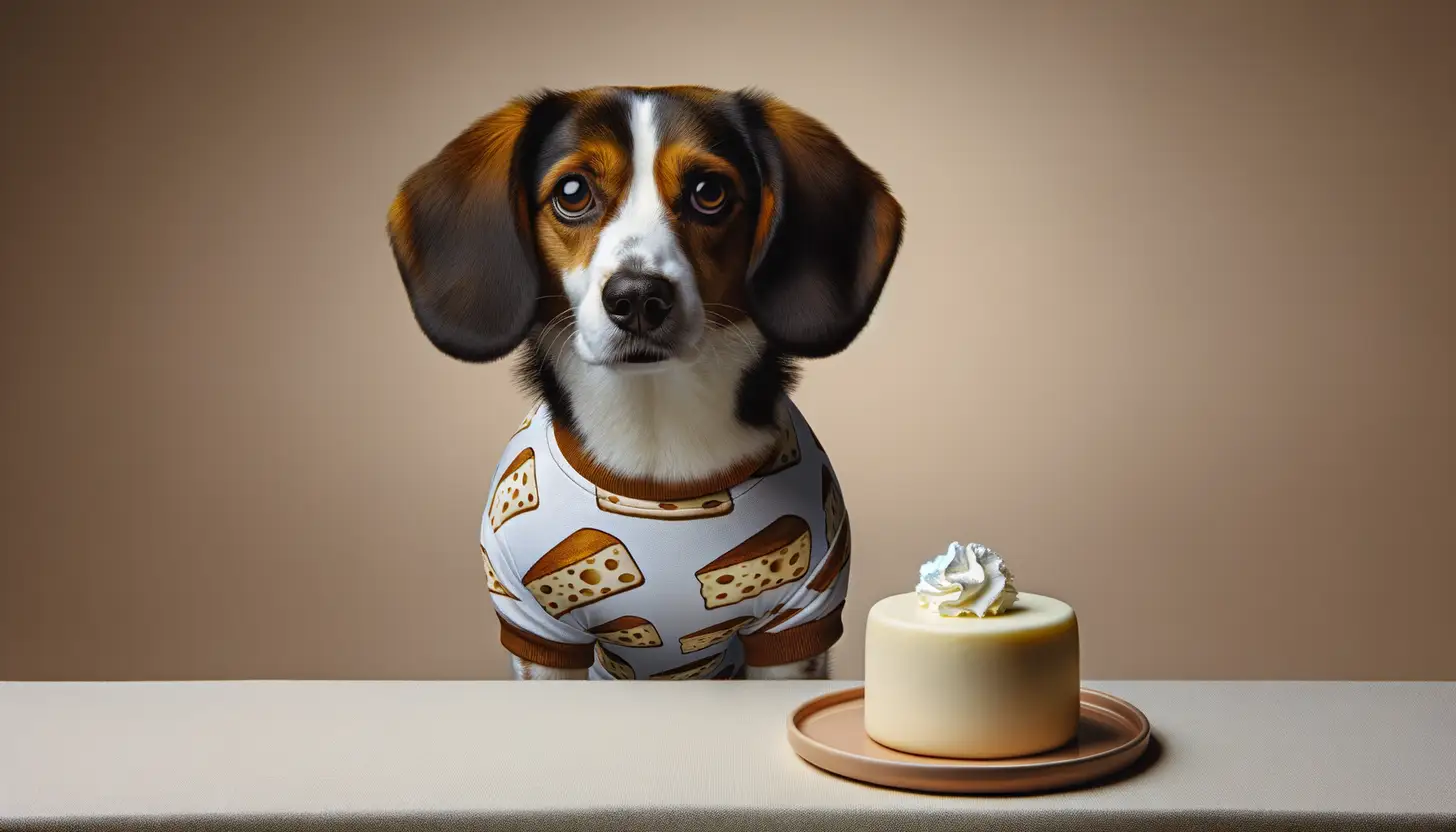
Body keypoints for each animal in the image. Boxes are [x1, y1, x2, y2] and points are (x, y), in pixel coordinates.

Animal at [393, 86, 902, 684]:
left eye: (710, 192)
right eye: (572, 192)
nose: (637, 297)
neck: (656, 440)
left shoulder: (798, 623)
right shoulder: (538, 632)